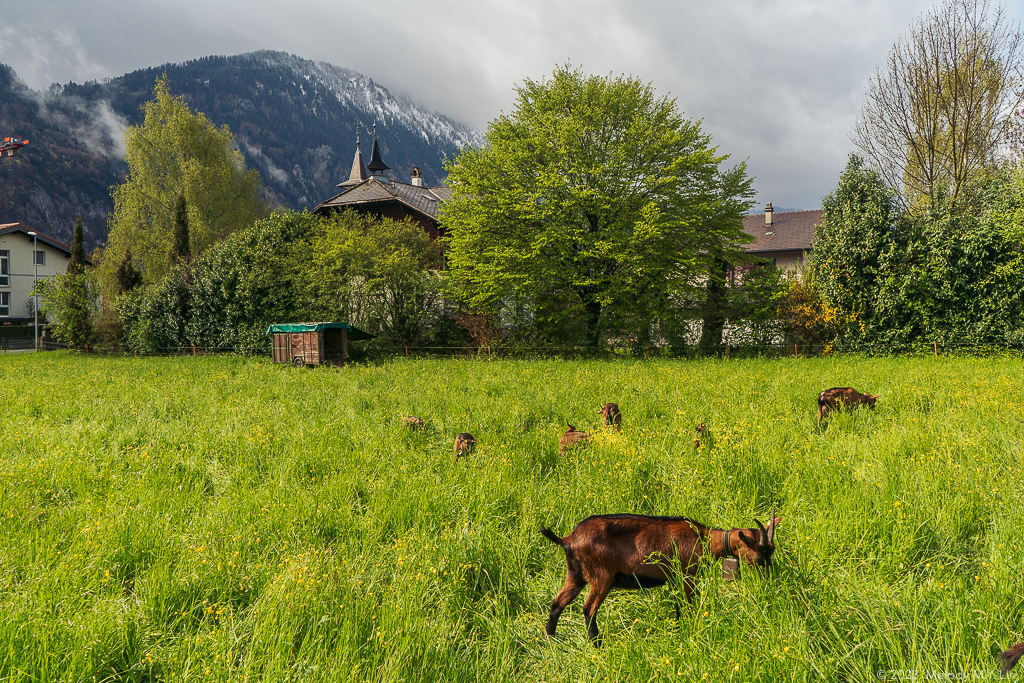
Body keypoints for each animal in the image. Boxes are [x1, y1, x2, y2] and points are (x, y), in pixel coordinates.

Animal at [540, 507, 778, 647]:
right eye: (760, 557)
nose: (769, 581)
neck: (705, 539)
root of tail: (567, 539)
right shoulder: (686, 578)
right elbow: (687, 607)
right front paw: (687, 631)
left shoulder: (676, 581)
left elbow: (679, 607)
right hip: (601, 577)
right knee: (588, 608)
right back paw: (597, 644)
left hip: (575, 574)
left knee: (557, 604)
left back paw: (551, 642)